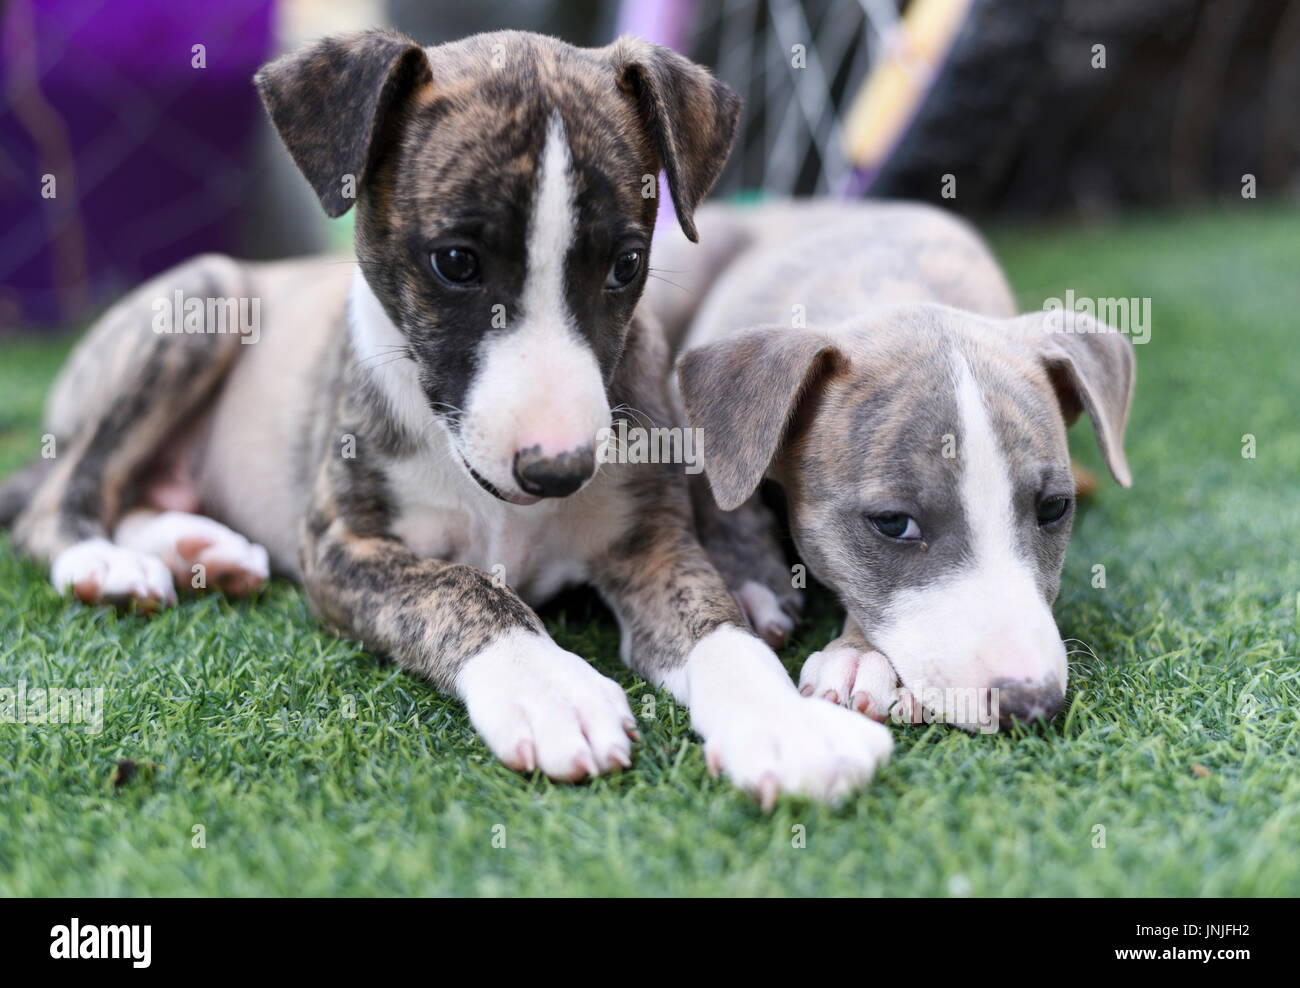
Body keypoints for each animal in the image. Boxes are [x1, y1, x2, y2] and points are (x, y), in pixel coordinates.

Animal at [0, 34, 894, 806]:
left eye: (627, 265)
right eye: (456, 263)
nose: (559, 470)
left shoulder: (653, 546)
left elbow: (719, 634)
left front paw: (786, 729)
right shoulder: (341, 546)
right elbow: (464, 590)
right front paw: (551, 690)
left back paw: (198, 549)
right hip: (205, 301)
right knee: (63, 494)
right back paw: (105, 561)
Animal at [655, 196, 1133, 728]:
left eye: (1053, 508)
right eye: (892, 523)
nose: (1031, 701)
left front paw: (861, 656)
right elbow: (715, 491)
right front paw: (752, 578)